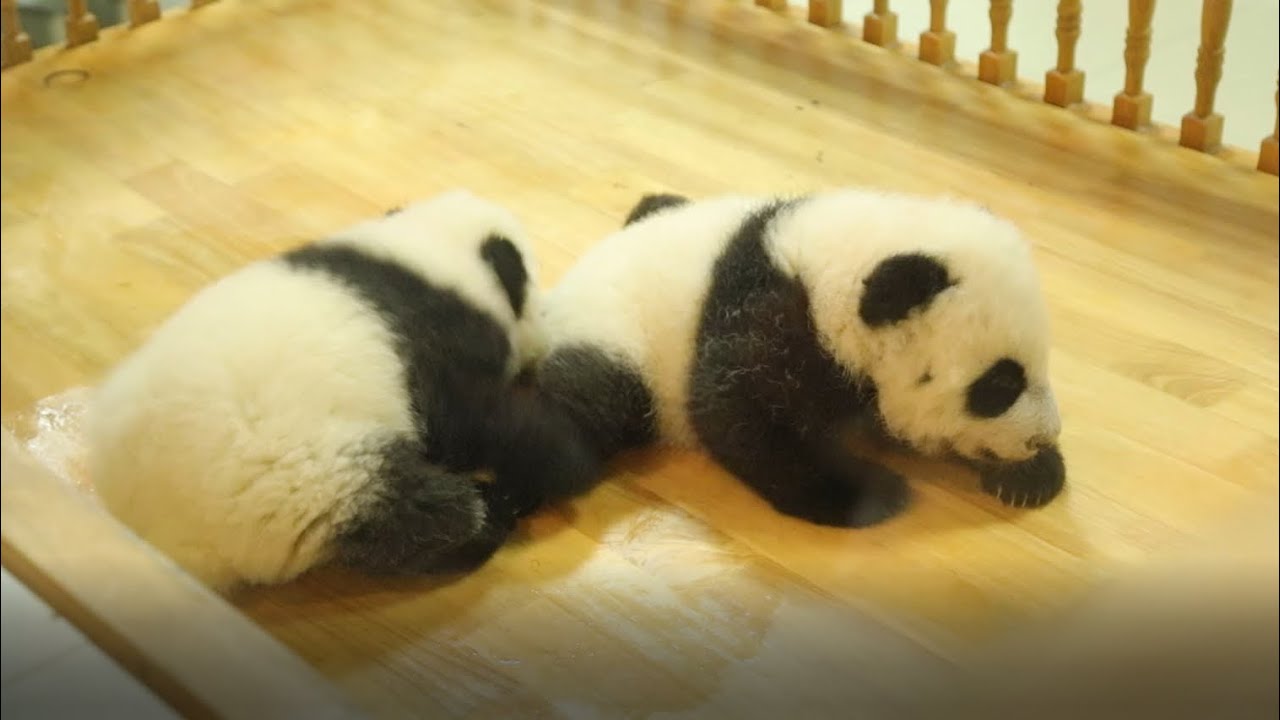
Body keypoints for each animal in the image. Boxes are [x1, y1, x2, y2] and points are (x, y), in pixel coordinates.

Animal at [87, 190, 597, 593]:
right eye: (532, 286)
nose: (542, 337)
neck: (426, 251)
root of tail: (170, 541)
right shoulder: (436, 349)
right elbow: (483, 418)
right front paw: (568, 459)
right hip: (309, 477)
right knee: (416, 514)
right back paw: (489, 516)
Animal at [532, 188, 1065, 528]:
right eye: (999, 385)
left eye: (1039, 364)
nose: (1042, 438)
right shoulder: (768, 322)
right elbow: (734, 413)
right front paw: (869, 493)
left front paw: (1030, 477)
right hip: (618, 343)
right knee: (580, 413)